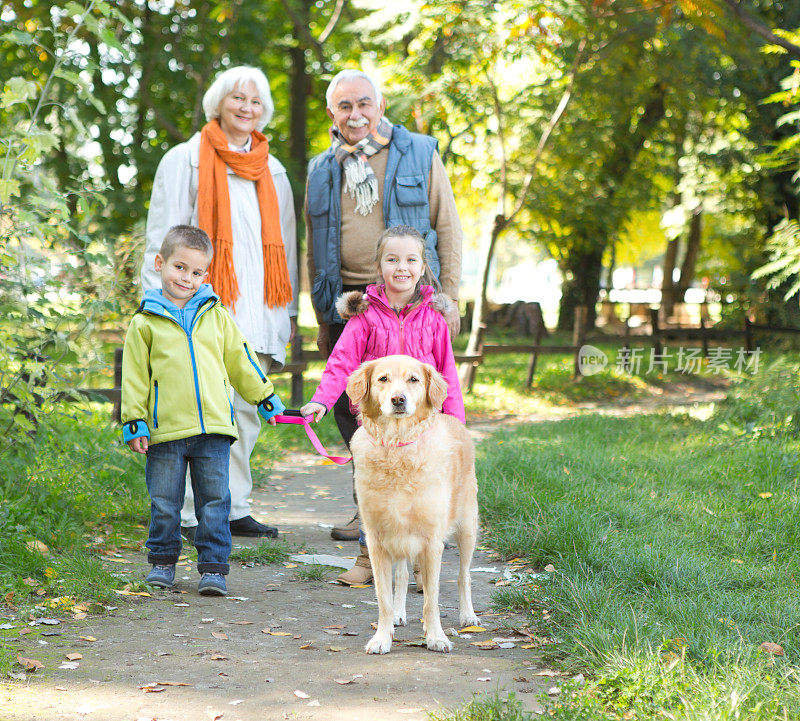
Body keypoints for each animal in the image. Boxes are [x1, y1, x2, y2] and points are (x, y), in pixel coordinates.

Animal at [346, 354, 482, 652]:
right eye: (383, 379)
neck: (396, 448)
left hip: (467, 528)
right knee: (401, 577)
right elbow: (383, 598)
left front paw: (436, 637)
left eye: (413, 379)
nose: (398, 399)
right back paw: (399, 613)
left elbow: (431, 600)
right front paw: (382, 637)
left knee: (464, 575)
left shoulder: (431, 541)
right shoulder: (377, 540)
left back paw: (468, 615)